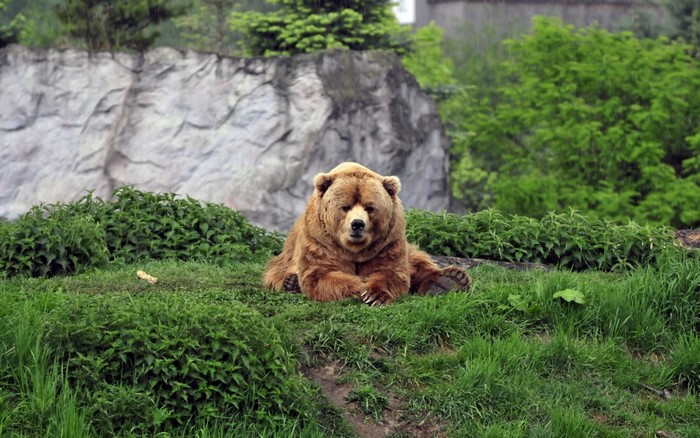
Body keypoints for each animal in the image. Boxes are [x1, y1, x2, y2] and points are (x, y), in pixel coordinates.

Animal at [262, 162, 471, 305]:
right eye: (345, 206)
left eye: (370, 207)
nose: (357, 225)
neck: (354, 250)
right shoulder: (320, 241)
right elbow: (322, 274)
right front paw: (359, 286)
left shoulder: (387, 243)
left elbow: (392, 272)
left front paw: (374, 294)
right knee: (276, 272)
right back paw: (291, 283)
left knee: (418, 262)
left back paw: (450, 280)